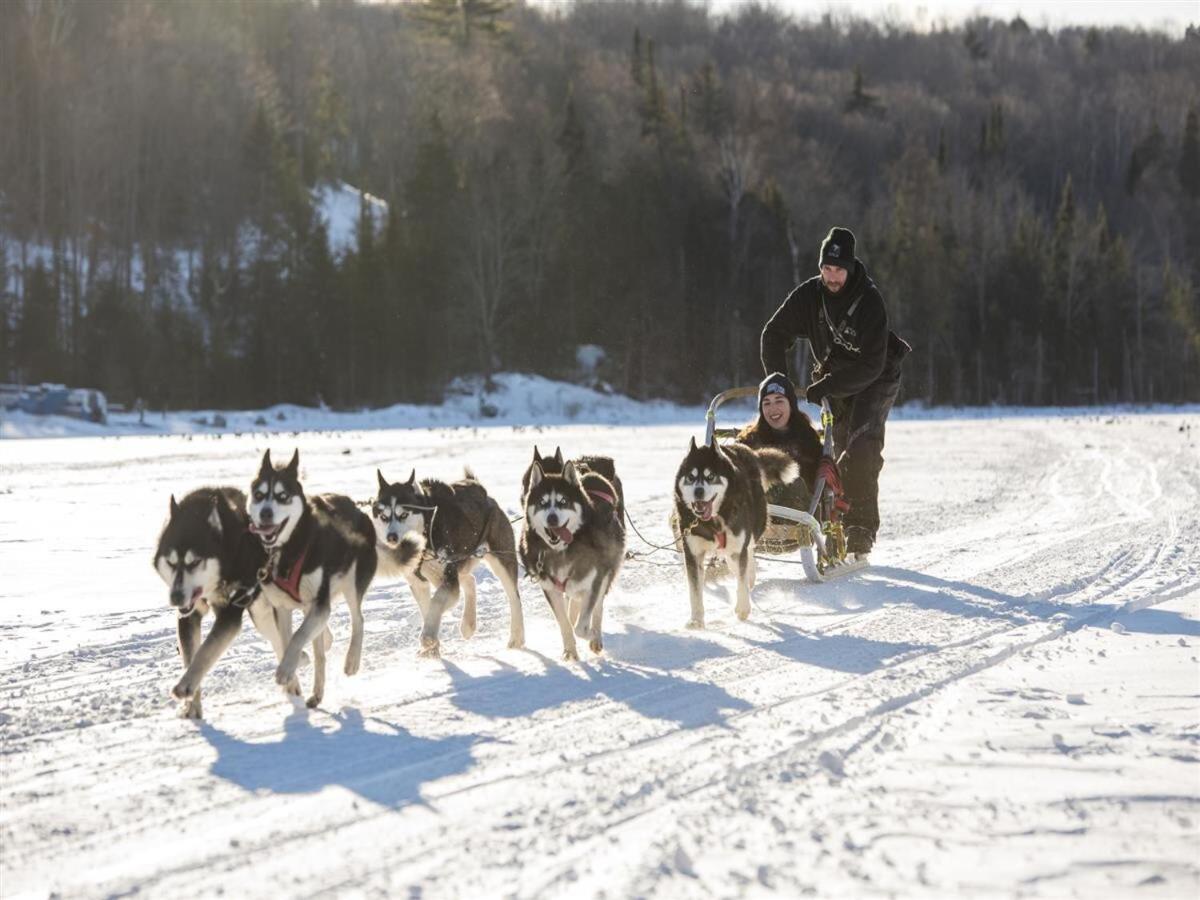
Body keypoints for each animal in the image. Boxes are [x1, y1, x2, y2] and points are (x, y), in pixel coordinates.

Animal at [152, 489, 290, 715]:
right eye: (171, 563)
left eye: (194, 562)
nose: (176, 597)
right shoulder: (189, 616)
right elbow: (190, 656)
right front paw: (192, 705)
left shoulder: (230, 615)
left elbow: (205, 652)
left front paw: (185, 685)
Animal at [372, 468, 528, 657]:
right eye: (384, 516)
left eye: (403, 514)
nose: (391, 537)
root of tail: (479, 489)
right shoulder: (418, 583)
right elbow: (428, 609)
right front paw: (432, 648)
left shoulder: (448, 579)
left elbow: (436, 603)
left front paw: (428, 637)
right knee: (470, 580)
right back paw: (468, 624)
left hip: (499, 558)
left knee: (513, 596)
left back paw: (516, 637)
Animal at [520, 453, 624, 657]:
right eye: (542, 503)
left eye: (563, 502)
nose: (552, 518)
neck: (562, 550)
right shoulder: (550, 588)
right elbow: (564, 623)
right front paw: (570, 651)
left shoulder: (594, 581)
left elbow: (581, 627)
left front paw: (592, 634)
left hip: (605, 572)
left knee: (596, 607)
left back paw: (596, 636)